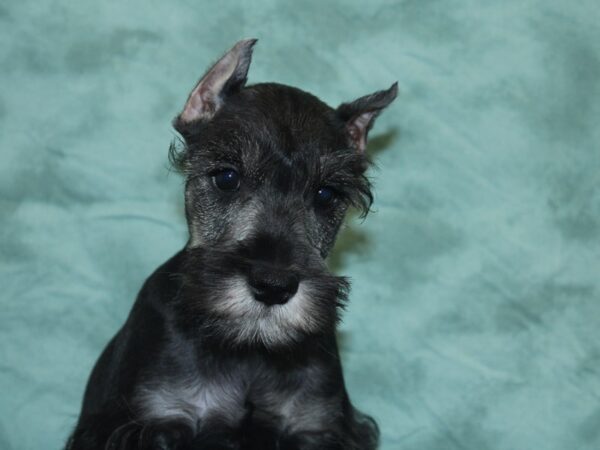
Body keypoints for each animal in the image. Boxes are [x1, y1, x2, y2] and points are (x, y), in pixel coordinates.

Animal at [65, 39, 396, 450]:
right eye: (226, 177)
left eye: (325, 195)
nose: (273, 286)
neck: (248, 347)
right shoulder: (157, 418)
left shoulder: (315, 423)